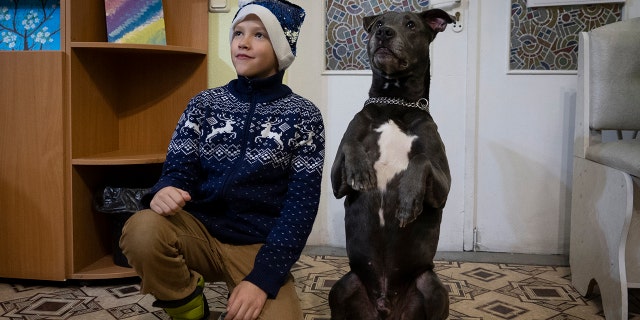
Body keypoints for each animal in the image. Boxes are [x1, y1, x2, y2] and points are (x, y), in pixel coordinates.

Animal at [330, 8, 456, 318]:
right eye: (378, 22)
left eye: (411, 24)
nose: (384, 32)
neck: (395, 104)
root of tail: (385, 305)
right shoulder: (337, 180)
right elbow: (351, 145)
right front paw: (361, 170)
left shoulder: (443, 187)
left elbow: (421, 159)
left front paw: (408, 201)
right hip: (344, 285)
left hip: (432, 286)